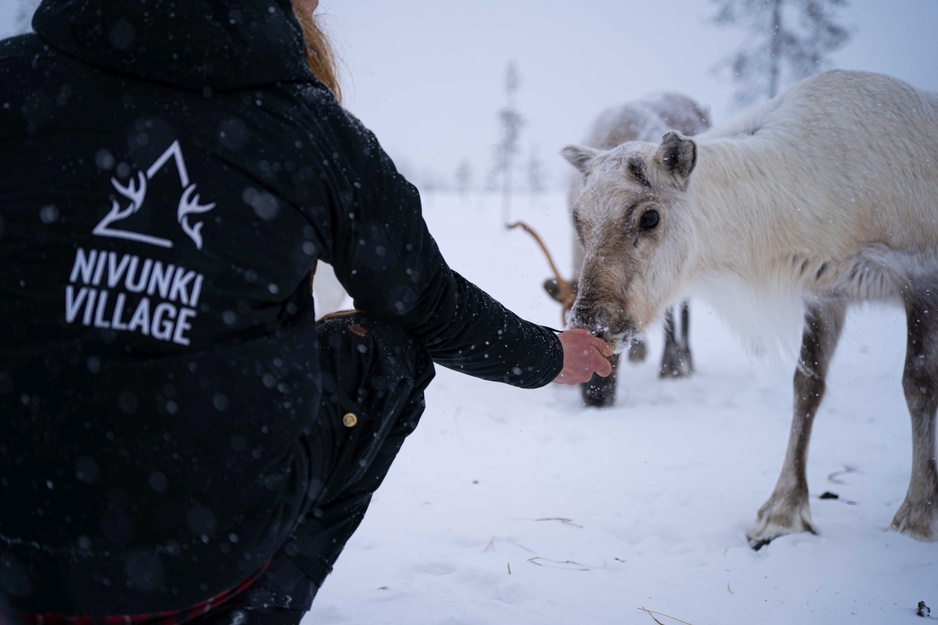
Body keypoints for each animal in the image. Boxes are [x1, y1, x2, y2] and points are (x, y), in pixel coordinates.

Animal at [561, 70, 938, 547]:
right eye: (577, 219)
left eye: (650, 217)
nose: (587, 322)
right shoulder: (827, 293)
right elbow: (806, 387)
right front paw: (784, 509)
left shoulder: (921, 278)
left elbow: (919, 385)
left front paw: (917, 515)